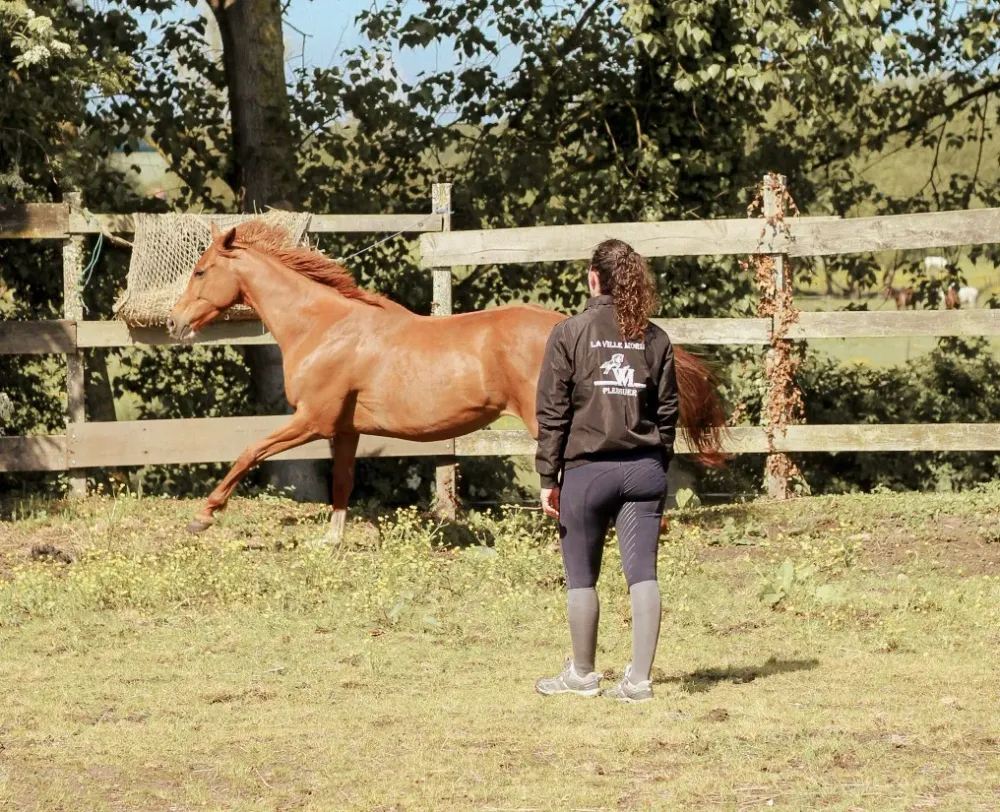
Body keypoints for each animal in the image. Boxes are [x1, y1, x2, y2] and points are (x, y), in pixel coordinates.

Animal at [167, 221, 728, 543]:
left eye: (201, 271)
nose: (173, 322)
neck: (323, 327)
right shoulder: (344, 429)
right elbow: (343, 482)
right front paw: (333, 541)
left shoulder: (312, 419)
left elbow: (248, 452)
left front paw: (203, 516)